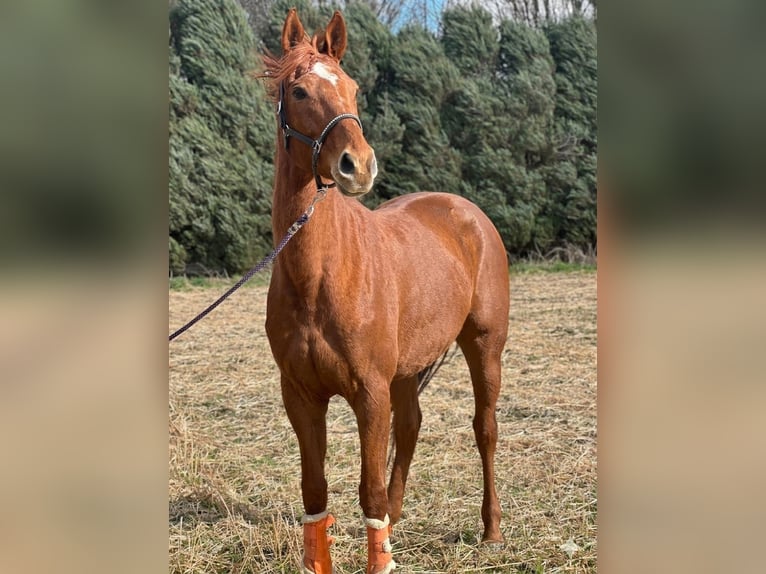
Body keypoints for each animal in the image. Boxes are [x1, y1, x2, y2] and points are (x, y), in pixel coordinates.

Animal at [263, 10, 510, 574]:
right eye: (299, 90)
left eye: (353, 88)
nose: (358, 165)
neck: (320, 275)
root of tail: (467, 211)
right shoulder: (300, 395)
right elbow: (315, 492)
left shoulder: (369, 393)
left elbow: (369, 491)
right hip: (407, 367)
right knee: (413, 425)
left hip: (483, 346)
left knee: (484, 428)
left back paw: (491, 530)